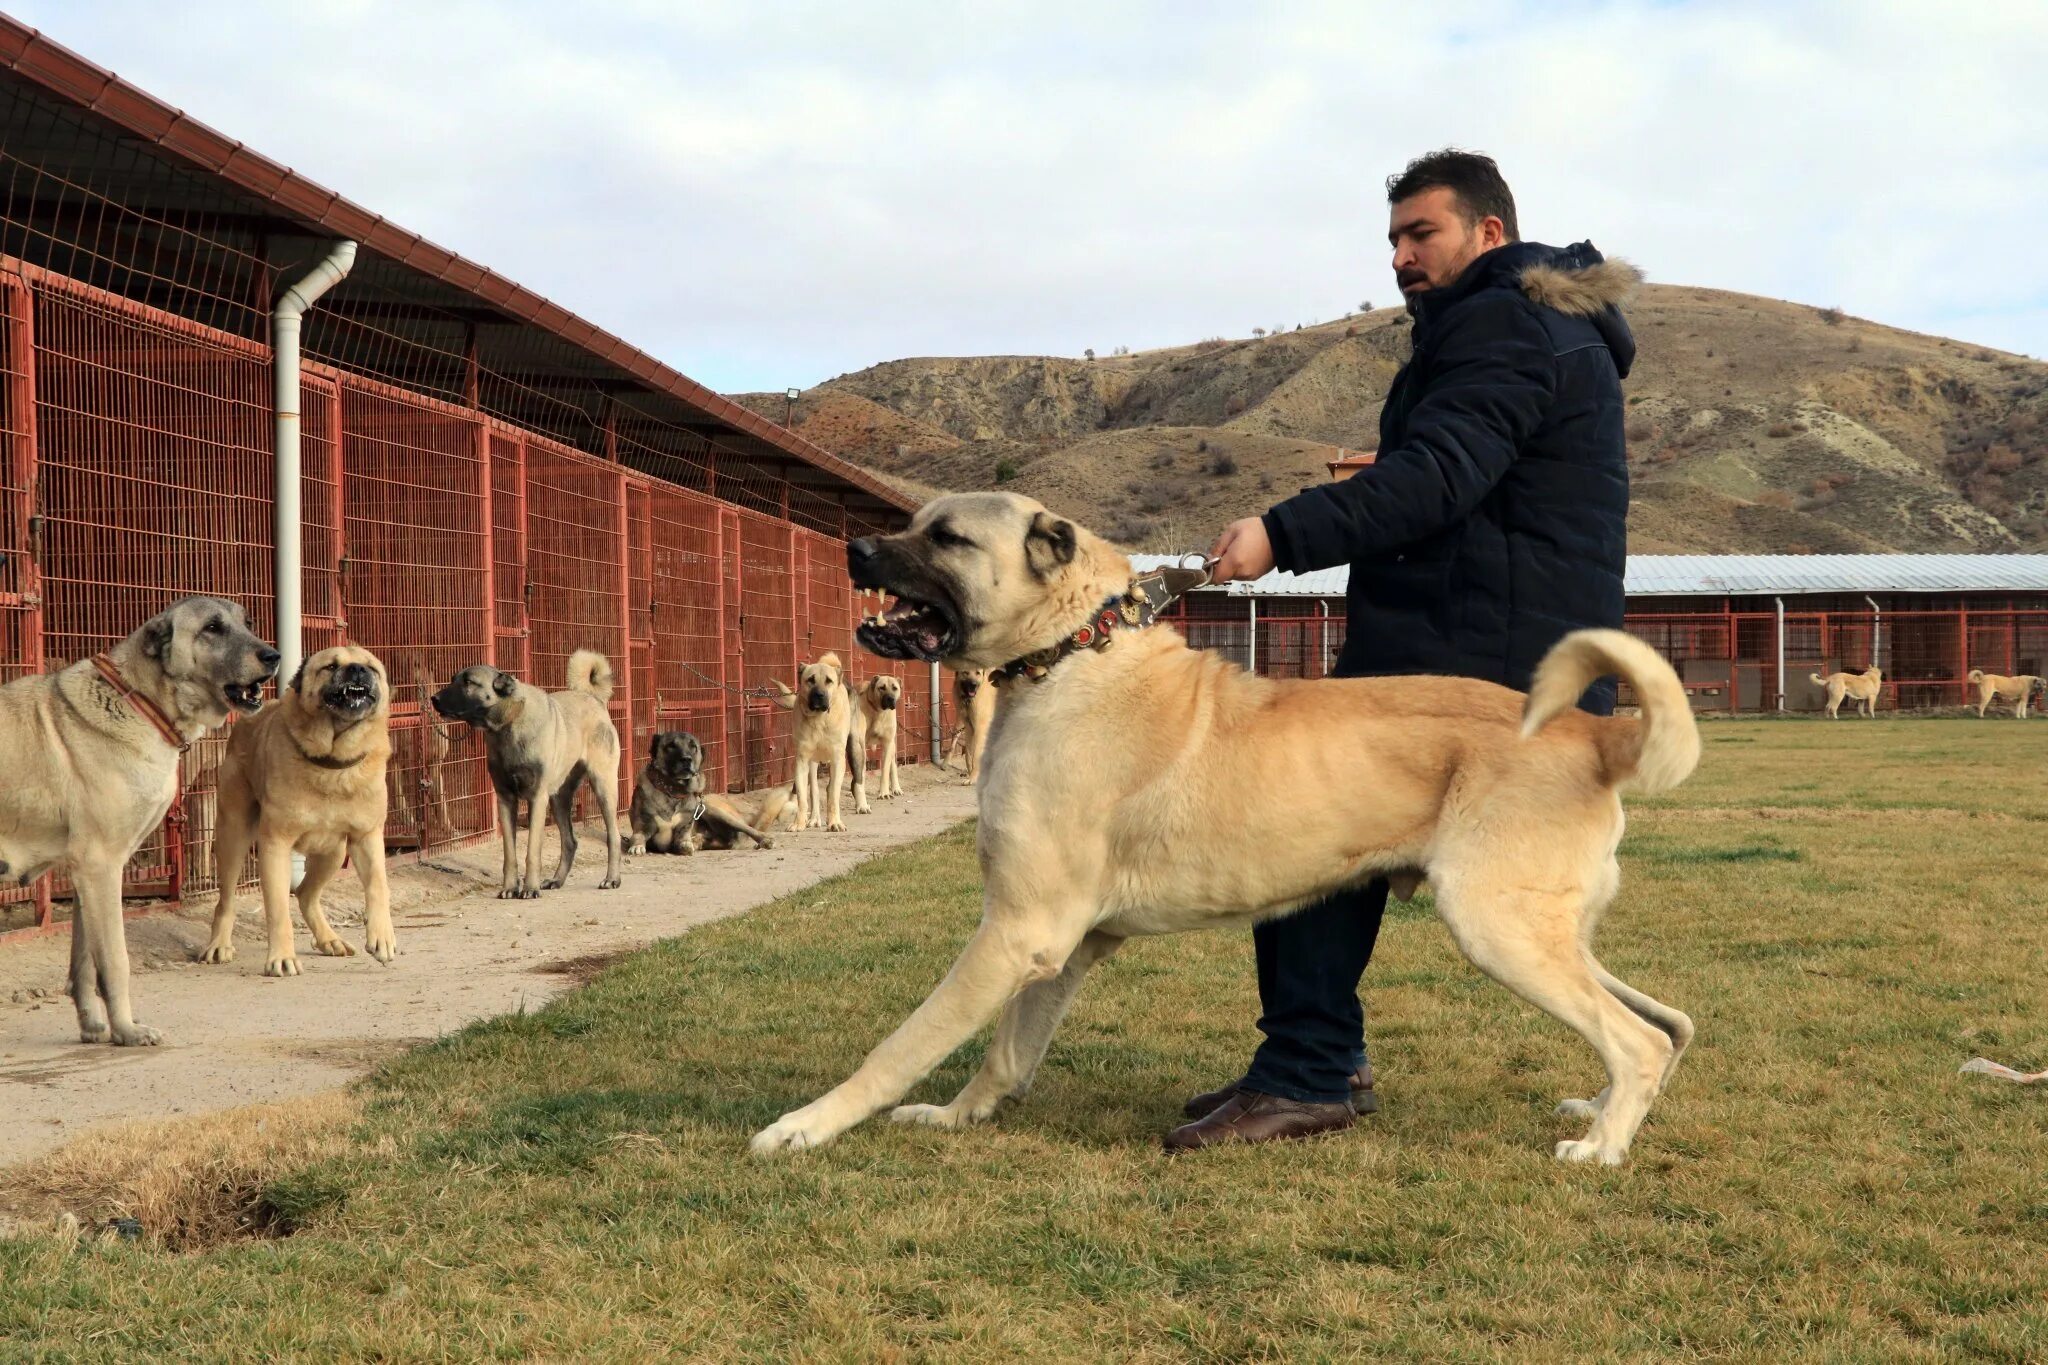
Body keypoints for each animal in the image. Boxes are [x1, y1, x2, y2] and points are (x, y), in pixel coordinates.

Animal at [203, 646, 399, 978]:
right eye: (330, 666)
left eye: (372, 667)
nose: (358, 670)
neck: (333, 761)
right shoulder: (275, 845)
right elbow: (278, 909)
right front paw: (281, 957)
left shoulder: (367, 838)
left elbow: (378, 886)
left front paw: (382, 937)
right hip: (233, 837)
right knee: (226, 899)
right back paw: (218, 944)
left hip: (334, 851)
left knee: (307, 893)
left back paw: (330, 939)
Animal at [425, 654, 618, 900]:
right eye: (453, 679)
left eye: (469, 682)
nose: (434, 698)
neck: (508, 724)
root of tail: (593, 699)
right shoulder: (506, 800)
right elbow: (510, 854)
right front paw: (509, 887)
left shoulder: (536, 799)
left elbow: (532, 851)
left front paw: (529, 888)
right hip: (558, 799)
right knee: (570, 841)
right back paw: (556, 879)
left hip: (603, 787)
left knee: (613, 836)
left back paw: (612, 878)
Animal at [770, 654, 860, 834]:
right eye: (810, 680)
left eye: (829, 681)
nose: (819, 695)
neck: (820, 719)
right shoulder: (802, 760)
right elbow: (803, 797)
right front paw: (799, 823)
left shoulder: (838, 760)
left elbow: (834, 795)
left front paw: (835, 822)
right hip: (812, 764)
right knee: (815, 790)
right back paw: (814, 819)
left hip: (852, 748)